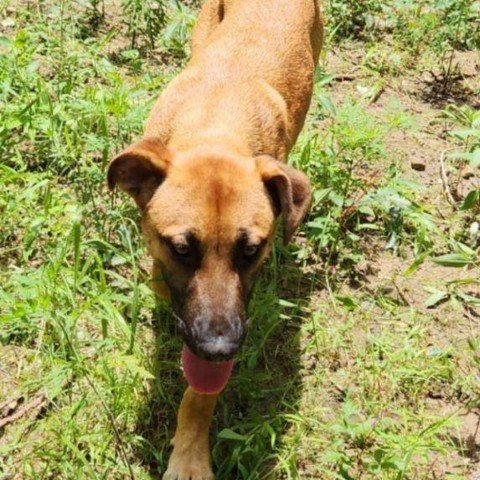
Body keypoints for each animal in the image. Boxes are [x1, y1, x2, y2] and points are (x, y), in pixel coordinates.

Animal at [106, 1, 320, 478]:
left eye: (251, 250)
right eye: (182, 249)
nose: (218, 351)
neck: (216, 127)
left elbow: (200, 395)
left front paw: (189, 454)